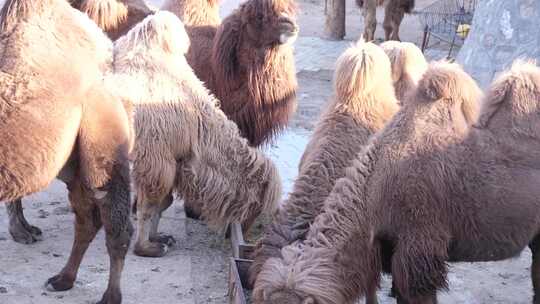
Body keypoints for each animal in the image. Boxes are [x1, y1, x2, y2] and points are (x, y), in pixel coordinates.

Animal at [0, 0, 132, 304]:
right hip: (73, 162)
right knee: (87, 219)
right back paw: (63, 279)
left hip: (101, 131)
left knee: (113, 220)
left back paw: (110, 296)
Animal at [107, 11, 280, 256]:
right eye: (256, 207)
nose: (237, 237)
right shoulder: (156, 157)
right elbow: (149, 204)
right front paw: (146, 247)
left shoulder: (175, 159)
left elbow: (164, 202)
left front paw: (159, 237)